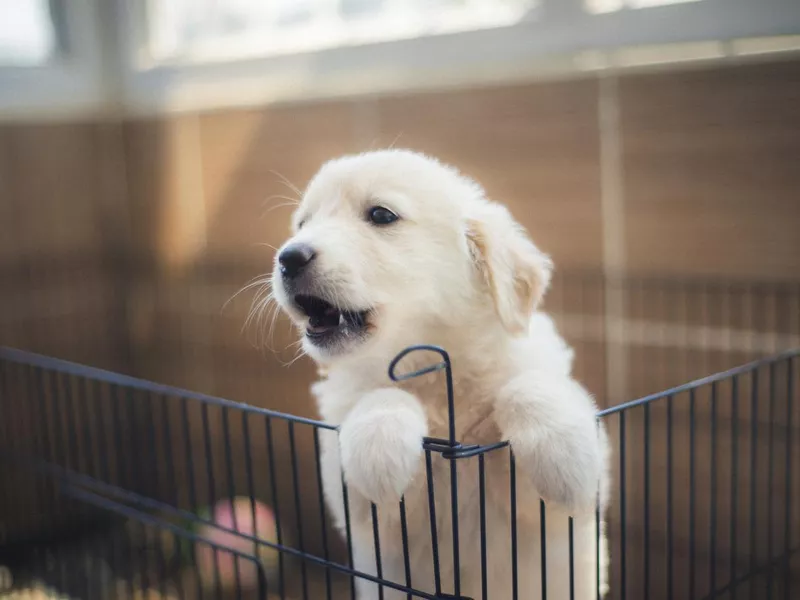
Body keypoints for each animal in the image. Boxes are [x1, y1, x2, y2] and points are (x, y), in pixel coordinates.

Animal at [272, 150, 608, 600]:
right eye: (302, 224)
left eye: (381, 215)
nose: (288, 257)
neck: (433, 374)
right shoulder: (364, 514)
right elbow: (379, 398)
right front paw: (379, 450)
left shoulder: (542, 519)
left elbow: (528, 388)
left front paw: (565, 458)